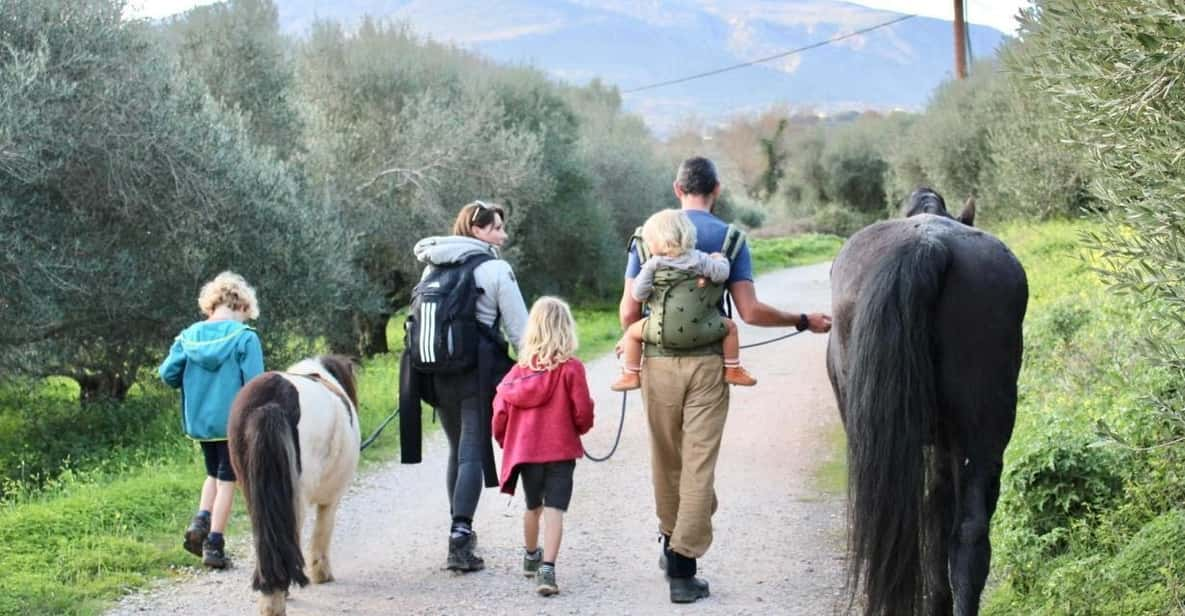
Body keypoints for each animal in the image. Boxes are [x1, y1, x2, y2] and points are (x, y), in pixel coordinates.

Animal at [227, 355, 360, 616]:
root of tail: (271, 401)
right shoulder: (332, 498)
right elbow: (323, 530)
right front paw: (321, 573)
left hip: (252, 493)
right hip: (297, 496)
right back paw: (277, 599)